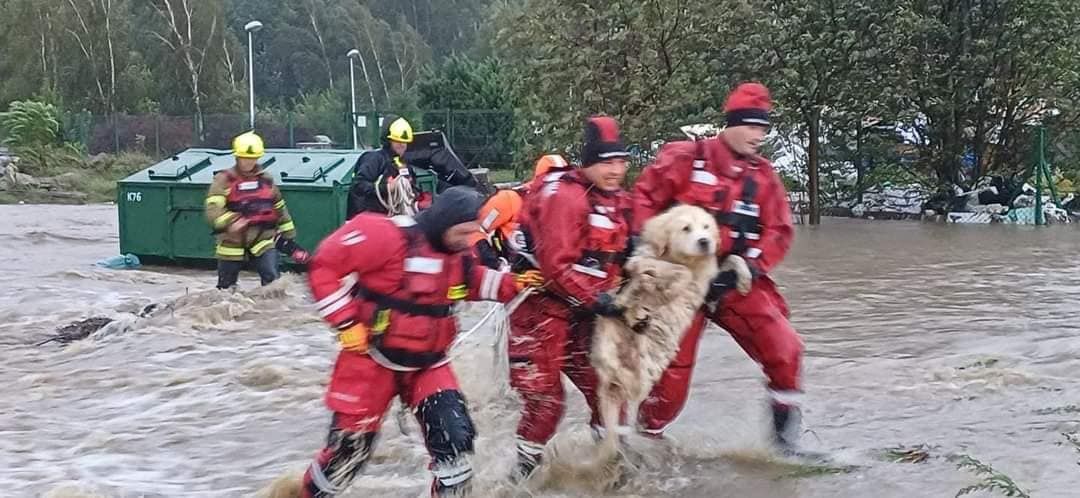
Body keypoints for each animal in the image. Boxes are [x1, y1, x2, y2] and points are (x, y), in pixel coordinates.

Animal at [591, 203, 717, 462]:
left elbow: (684, 276)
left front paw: (663, 285)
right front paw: (651, 283)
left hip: (643, 370)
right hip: (610, 348)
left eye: (706, 227)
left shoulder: (696, 281)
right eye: (686, 228)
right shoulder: (644, 258)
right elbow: (650, 267)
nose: (704, 242)